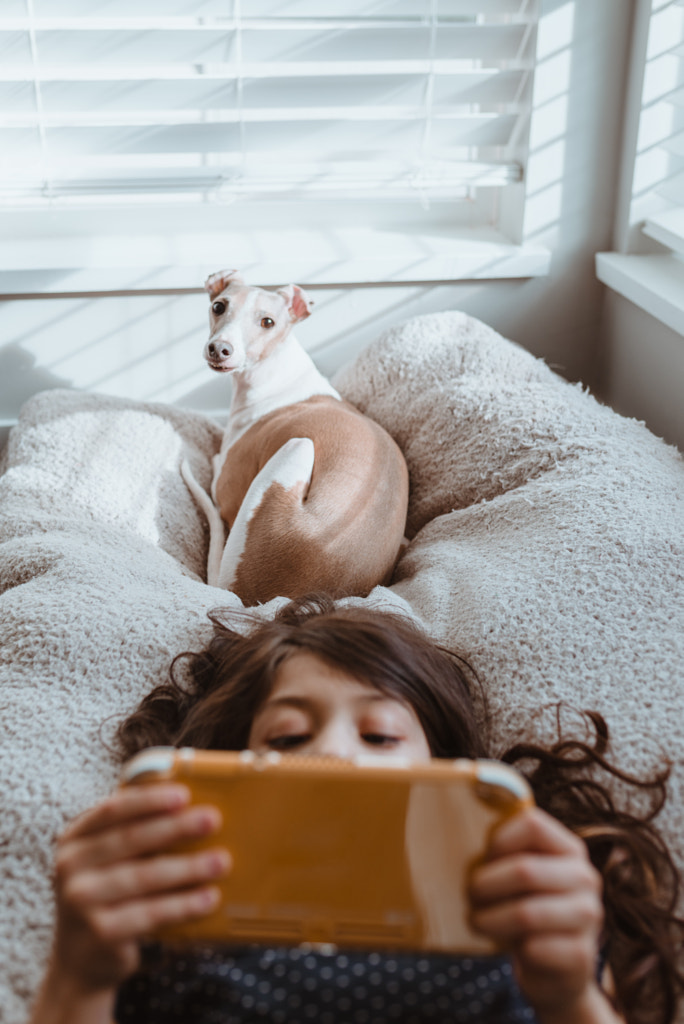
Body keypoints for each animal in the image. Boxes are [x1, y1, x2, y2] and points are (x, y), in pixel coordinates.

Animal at [179, 270, 409, 606]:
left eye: (268, 322)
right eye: (219, 306)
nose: (220, 349)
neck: (277, 375)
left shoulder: (229, 495)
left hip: (298, 448)